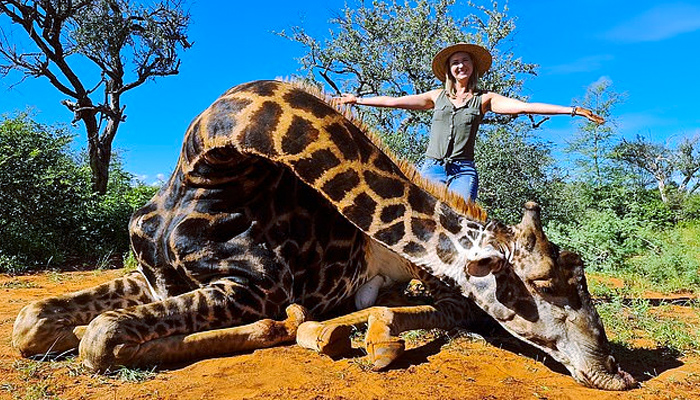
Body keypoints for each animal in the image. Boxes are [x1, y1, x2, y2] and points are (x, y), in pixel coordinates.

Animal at [12, 79, 636, 390]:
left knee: (451, 310)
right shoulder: (153, 277)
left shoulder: (253, 289)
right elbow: (32, 322)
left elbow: (100, 337)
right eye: (548, 287)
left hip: (422, 279)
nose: (616, 373)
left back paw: (359, 335)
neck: (206, 169)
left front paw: (281, 329)